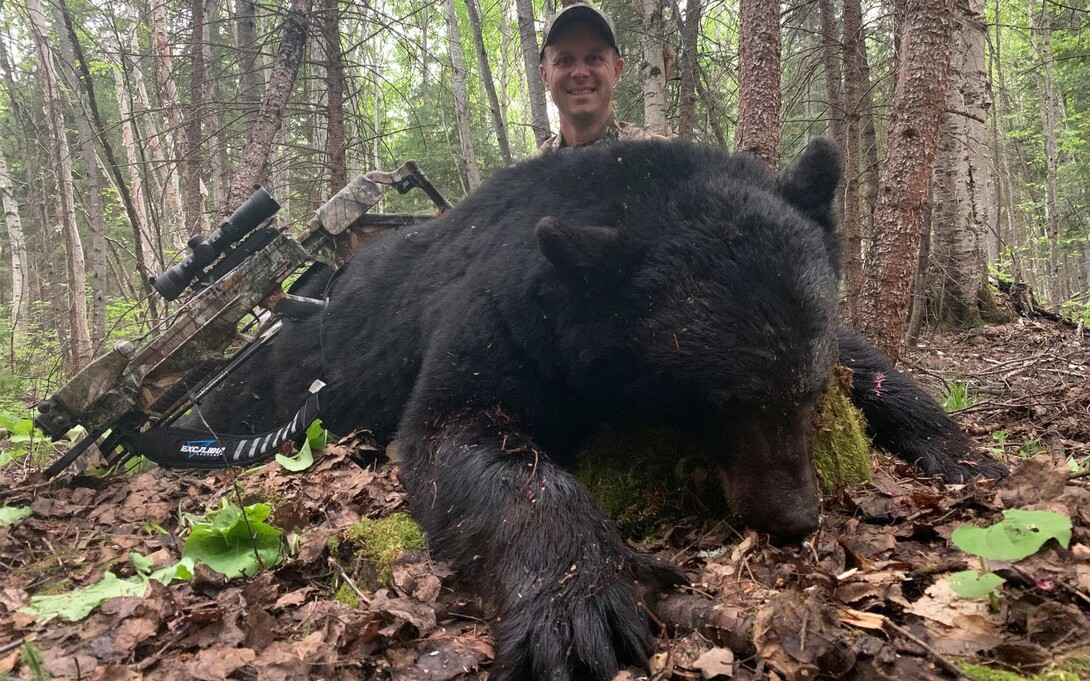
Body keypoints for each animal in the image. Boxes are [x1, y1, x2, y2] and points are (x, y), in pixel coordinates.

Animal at [189, 139, 1002, 679]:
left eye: (803, 394)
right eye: (722, 402)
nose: (796, 517)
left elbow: (866, 359)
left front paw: (963, 451)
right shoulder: (508, 314)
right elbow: (458, 432)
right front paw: (581, 609)